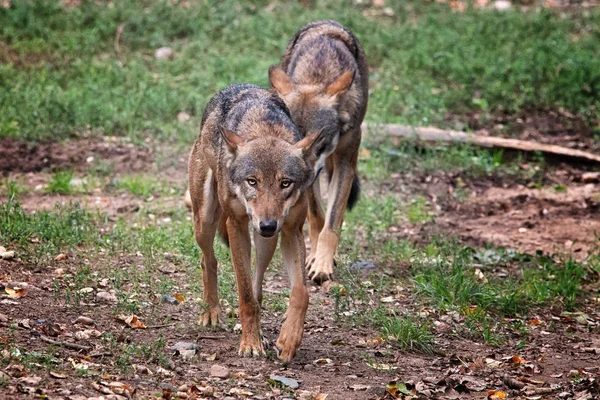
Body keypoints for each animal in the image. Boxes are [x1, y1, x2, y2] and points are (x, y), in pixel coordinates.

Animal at [190, 83, 326, 362]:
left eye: (285, 183)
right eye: (252, 181)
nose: (267, 225)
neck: (265, 128)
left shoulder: (291, 231)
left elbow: (301, 292)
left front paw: (288, 340)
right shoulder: (236, 225)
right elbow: (245, 295)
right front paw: (250, 344)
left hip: (267, 243)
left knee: (257, 284)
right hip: (205, 222)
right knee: (208, 260)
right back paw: (211, 313)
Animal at [268, 19, 370, 284]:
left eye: (318, 141)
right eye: (293, 141)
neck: (318, 73)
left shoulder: (346, 163)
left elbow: (332, 223)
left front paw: (323, 264)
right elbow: (317, 218)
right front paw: (315, 257)